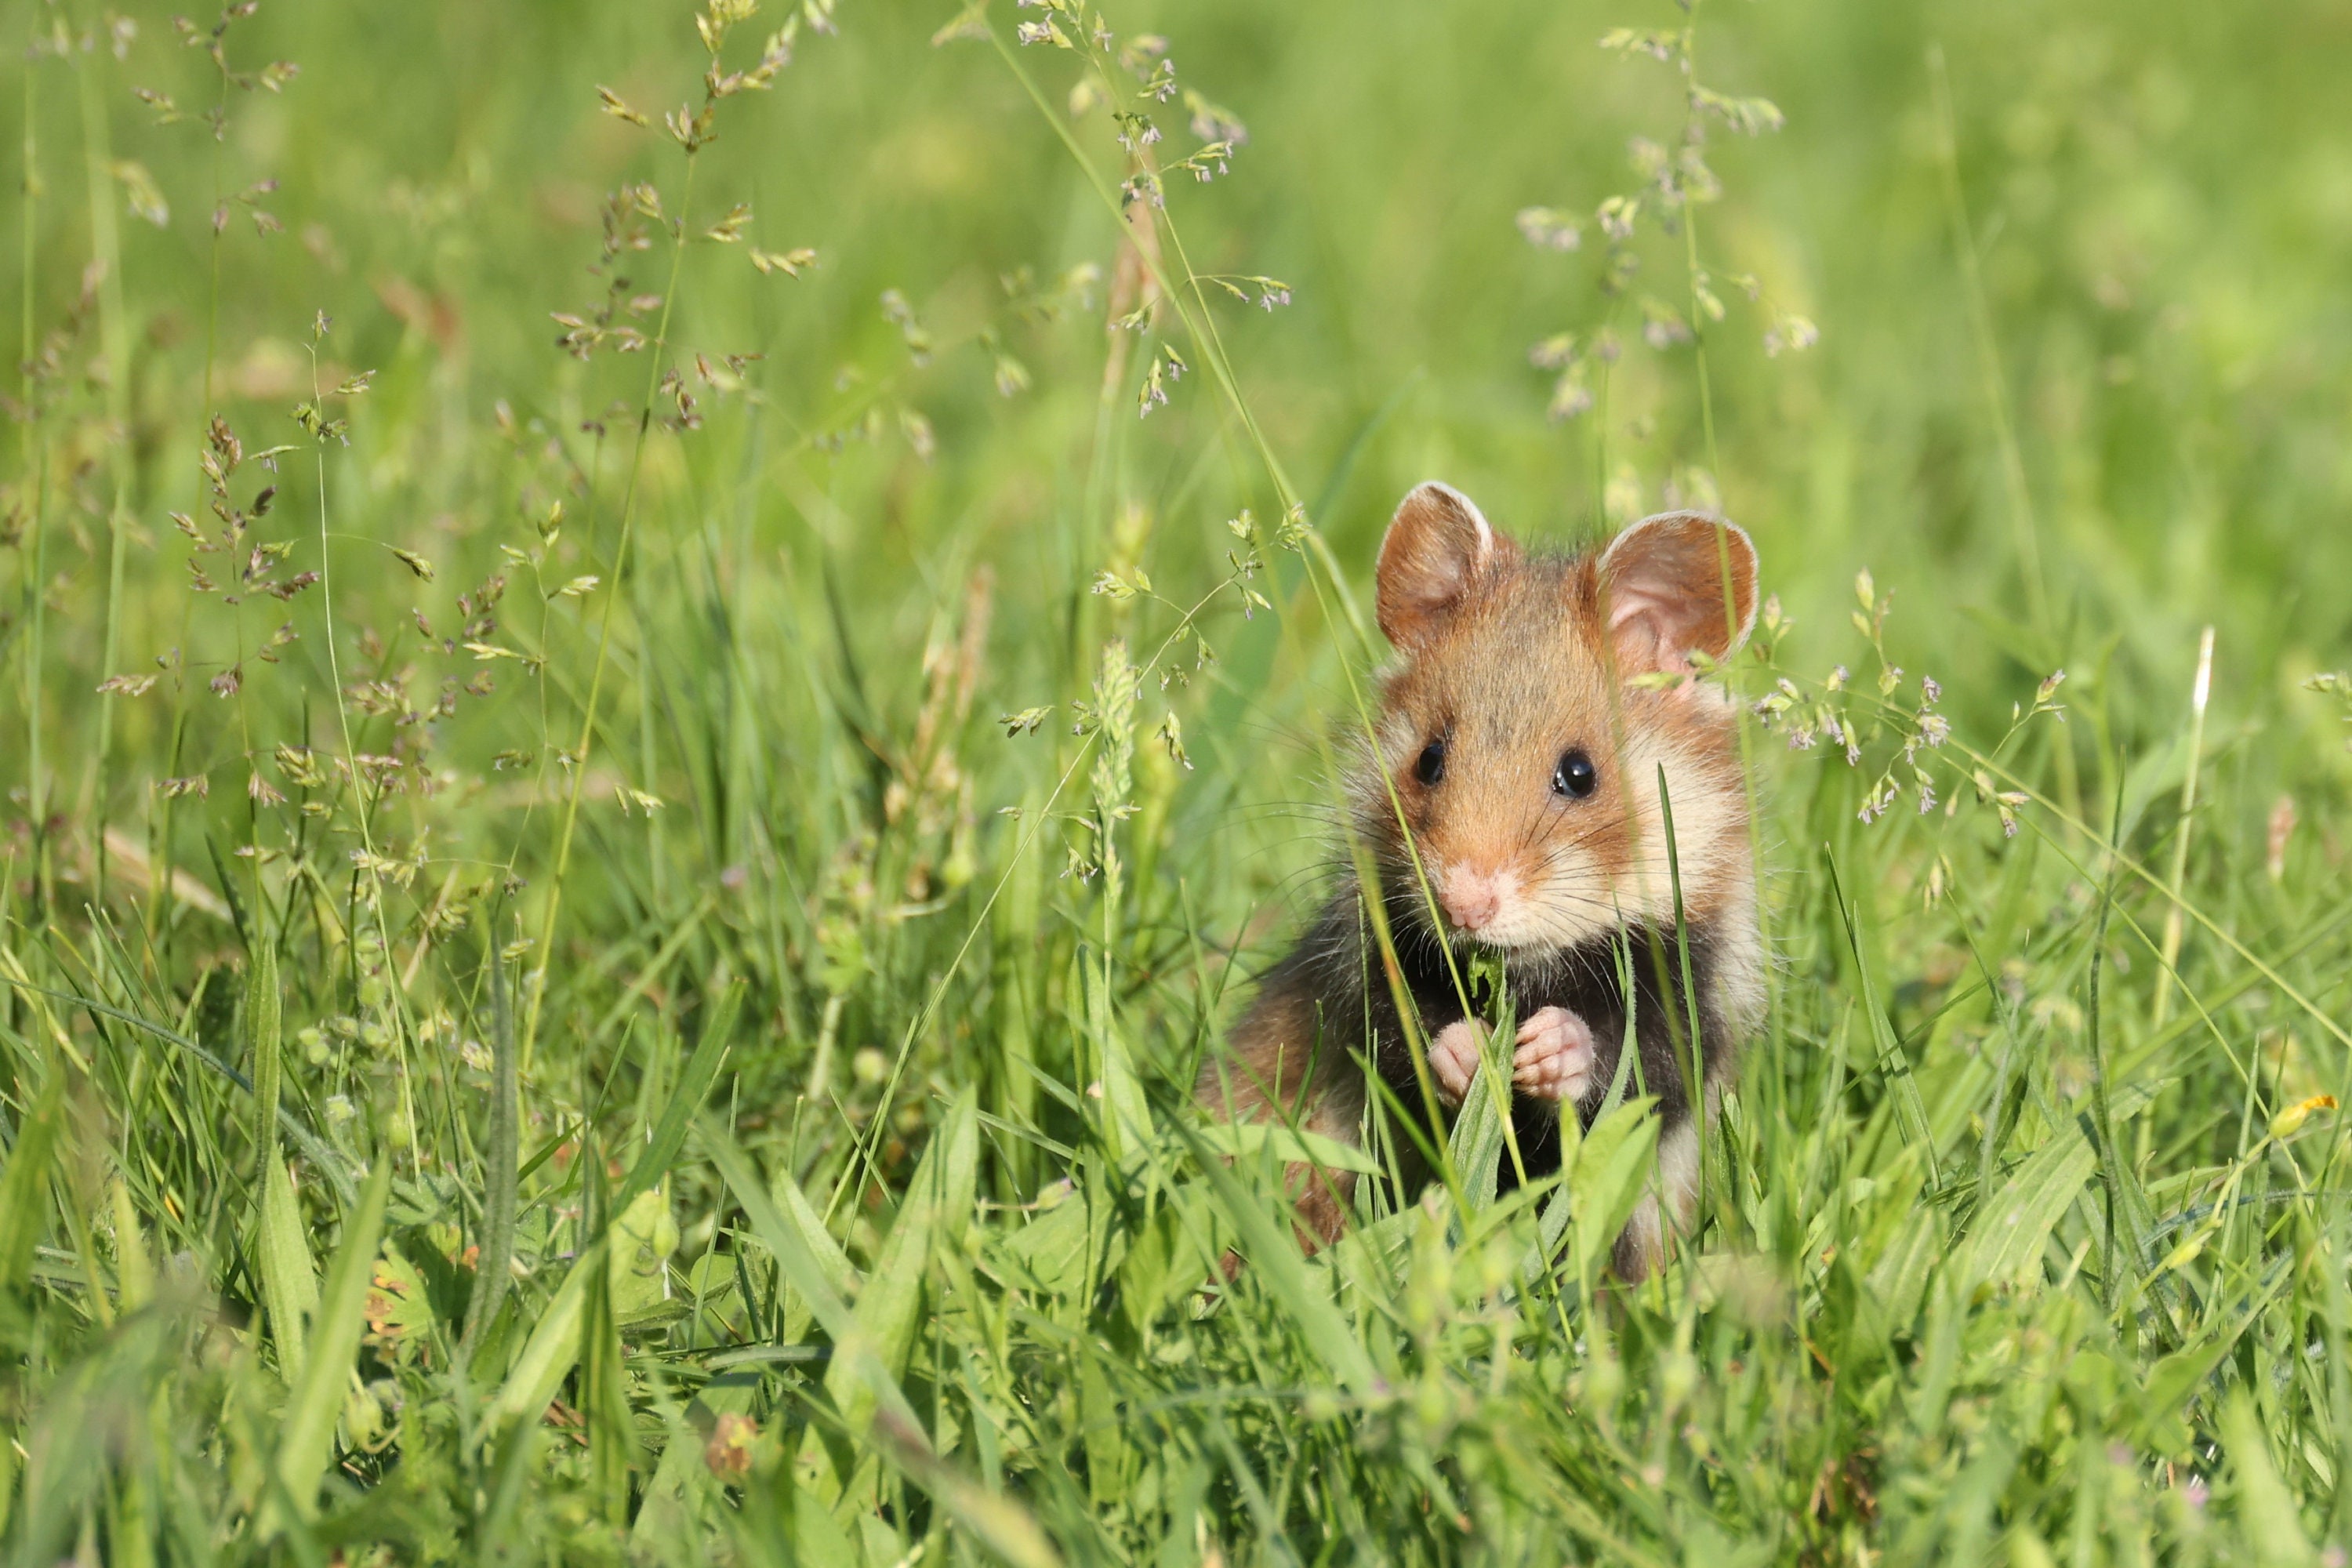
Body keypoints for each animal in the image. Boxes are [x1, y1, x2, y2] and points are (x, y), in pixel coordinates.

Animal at [1196, 481, 1765, 1280]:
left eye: (1580, 773)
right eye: (1429, 759)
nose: (1464, 904)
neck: (1524, 974)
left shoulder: (1693, 991)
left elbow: (1642, 1063)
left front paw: (1547, 1048)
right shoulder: (1367, 974)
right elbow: (1403, 1034)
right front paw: (1469, 1052)